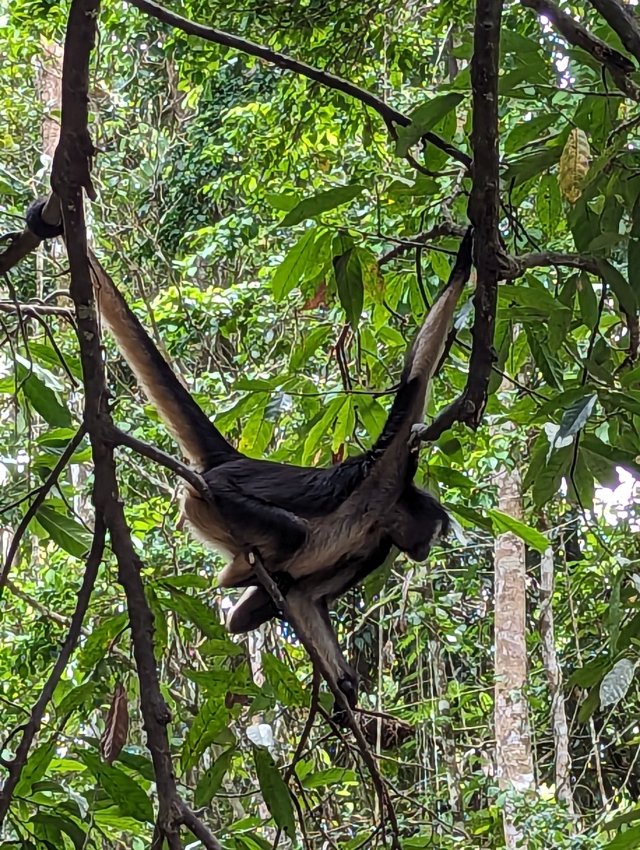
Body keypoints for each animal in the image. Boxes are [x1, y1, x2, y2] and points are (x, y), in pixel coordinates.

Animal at [26, 200, 473, 705]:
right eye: (432, 536)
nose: (425, 552)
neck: (380, 514)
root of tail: (231, 461)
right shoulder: (389, 467)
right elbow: (416, 378)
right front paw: (467, 255)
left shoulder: (375, 548)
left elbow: (306, 598)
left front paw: (344, 692)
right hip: (214, 498)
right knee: (289, 536)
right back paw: (242, 574)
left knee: (253, 609)